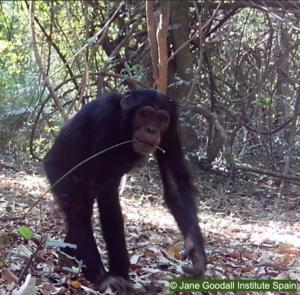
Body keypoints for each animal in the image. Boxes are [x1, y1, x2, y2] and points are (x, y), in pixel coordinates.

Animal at [42, 89, 206, 292]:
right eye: (145, 114)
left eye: (161, 119)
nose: (151, 130)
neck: (125, 125)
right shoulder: (104, 122)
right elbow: (108, 194)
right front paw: (118, 275)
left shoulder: (172, 134)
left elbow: (175, 186)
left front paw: (196, 252)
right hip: (57, 172)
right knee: (79, 212)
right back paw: (100, 277)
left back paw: (69, 254)